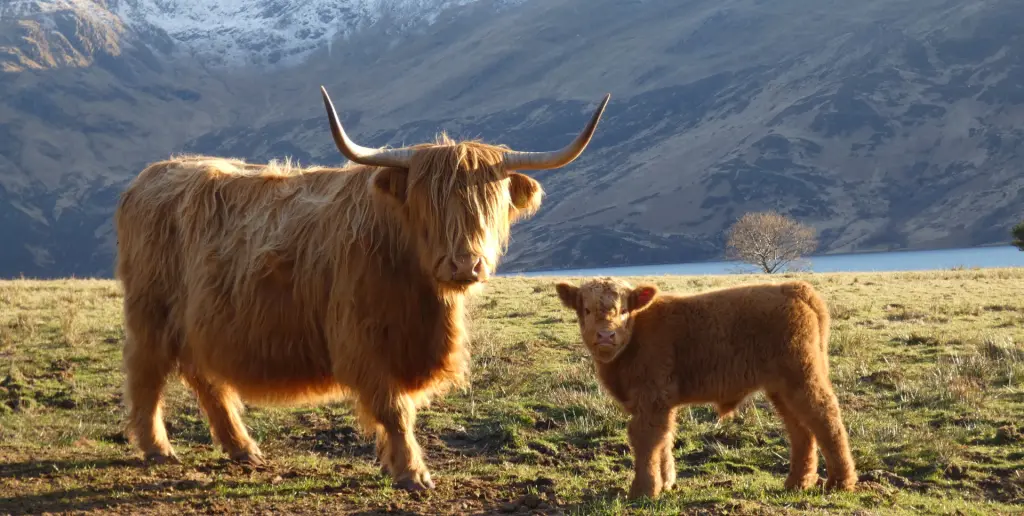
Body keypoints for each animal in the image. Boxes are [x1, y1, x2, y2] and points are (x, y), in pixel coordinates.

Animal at [114, 86, 609, 491]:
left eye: (491, 201)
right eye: (427, 202)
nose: (465, 264)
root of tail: (154, 174)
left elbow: (401, 408)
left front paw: (397, 465)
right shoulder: (362, 340)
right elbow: (394, 409)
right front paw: (412, 473)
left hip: (197, 321)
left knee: (205, 377)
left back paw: (242, 448)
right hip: (149, 312)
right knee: (146, 373)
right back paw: (158, 449)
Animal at [553, 277, 857, 499]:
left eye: (624, 309)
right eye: (587, 309)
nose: (606, 335)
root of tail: (793, 287)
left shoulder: (652, 399)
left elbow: (646, 440)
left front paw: (643, 491)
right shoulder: (661, 404)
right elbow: (664, 439)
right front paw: (665, 483)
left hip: (802, 377)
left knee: (824, 417)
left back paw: (840, 482)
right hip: (781, 388)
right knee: (800, 429)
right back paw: (797, 482)